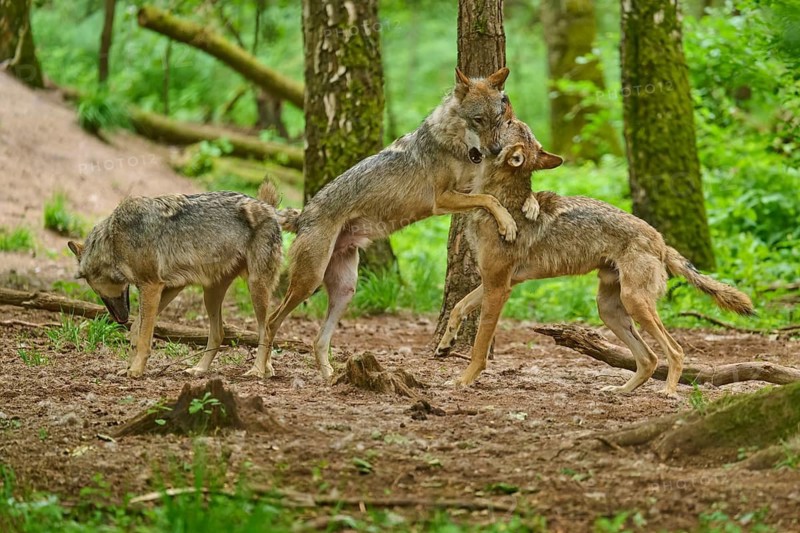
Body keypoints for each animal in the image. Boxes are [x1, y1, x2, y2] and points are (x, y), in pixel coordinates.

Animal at [68, 183, 283, 378]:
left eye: (97, 292)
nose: (120, 318)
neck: (113, 240)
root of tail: (271, 209)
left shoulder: (152, 286)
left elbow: (144, 336)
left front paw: (136, 370)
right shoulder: (172, 286)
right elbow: (136, 327)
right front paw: (128, 366)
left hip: (255, 286)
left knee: (267, 328)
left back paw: (257, 371)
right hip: (211, 295)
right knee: (220, 334)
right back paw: (203, 370)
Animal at [246, 67, 522, 380]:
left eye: (497, 119)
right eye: (478, 120)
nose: (495, 149)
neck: (456, 145)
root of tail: (303, 215)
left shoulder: (468, 186)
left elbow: (489, 195)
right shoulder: (442, 199)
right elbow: (490, 198)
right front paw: (508, 224)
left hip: (345, 290)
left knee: (317, 339)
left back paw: (328, 376)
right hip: (309, 281)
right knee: (271, 320)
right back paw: (261, 369)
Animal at [436, 119, 754, 395]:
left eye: (511, 123)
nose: (506, 106)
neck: (497, 203)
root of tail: (661, 241)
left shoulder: (500, 288)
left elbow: (479, 347)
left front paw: (463, 380)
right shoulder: (497, 282)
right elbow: (458, 308)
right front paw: (445, 345)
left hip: (635, 303)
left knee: (674, 350)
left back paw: (668, 392)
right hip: (609, 310)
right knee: (649, 359)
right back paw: (620, 390)